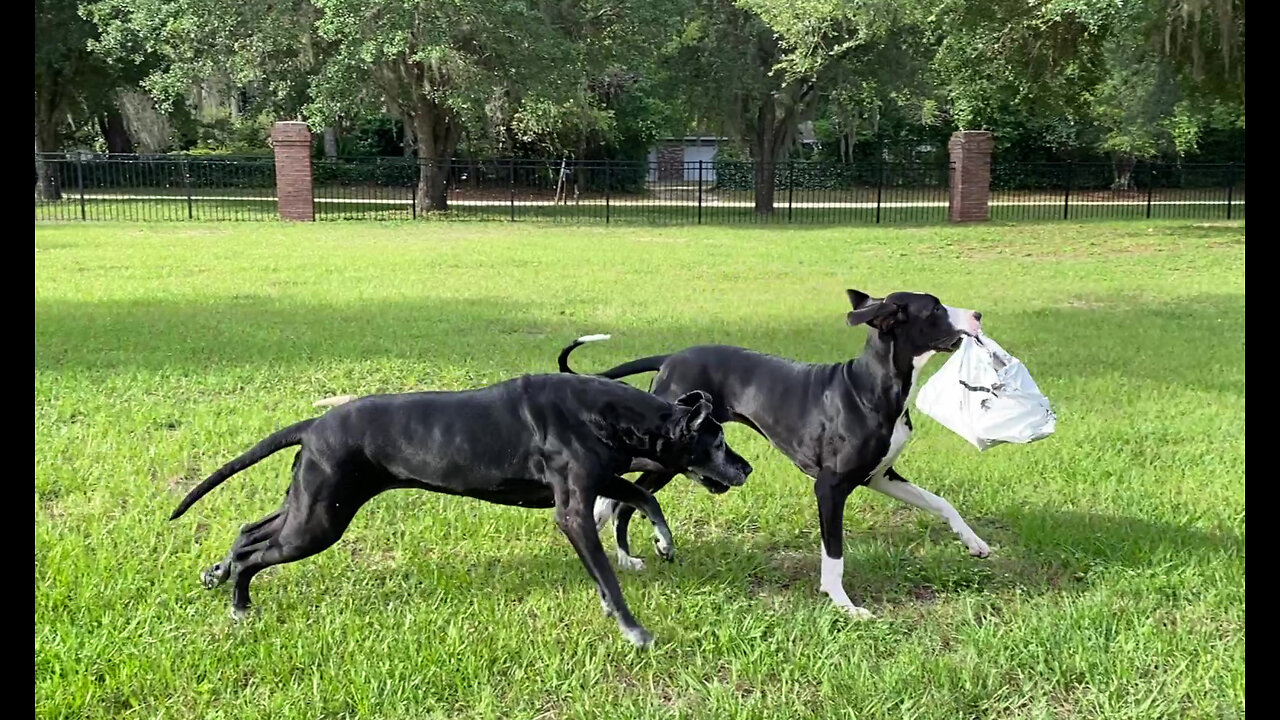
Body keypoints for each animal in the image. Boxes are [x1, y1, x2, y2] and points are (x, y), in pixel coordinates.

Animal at [170, 368, 747, 645]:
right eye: (718, 441)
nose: (746, 468)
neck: (608, 413)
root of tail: (313, 425)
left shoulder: (602, 480)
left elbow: (643, 495)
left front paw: (662, 543)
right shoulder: (572, 512)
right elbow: (608, 573)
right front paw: (633, 628)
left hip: (309, 506)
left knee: (248, 531)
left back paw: (218, 573)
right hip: (319, 521)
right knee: (255, 553)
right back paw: (239, 603)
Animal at [558, 288, 988, 614]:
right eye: (935, 309)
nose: (978, 314)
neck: (872, 388)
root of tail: (670, 357)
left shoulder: (880, 475)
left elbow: (940, 502)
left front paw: (974, 542)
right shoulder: (830, 487)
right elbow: (834, 554)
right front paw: (843, 603)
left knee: (625, 500)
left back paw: (620, 548)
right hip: (670, 455)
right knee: (622, 496)